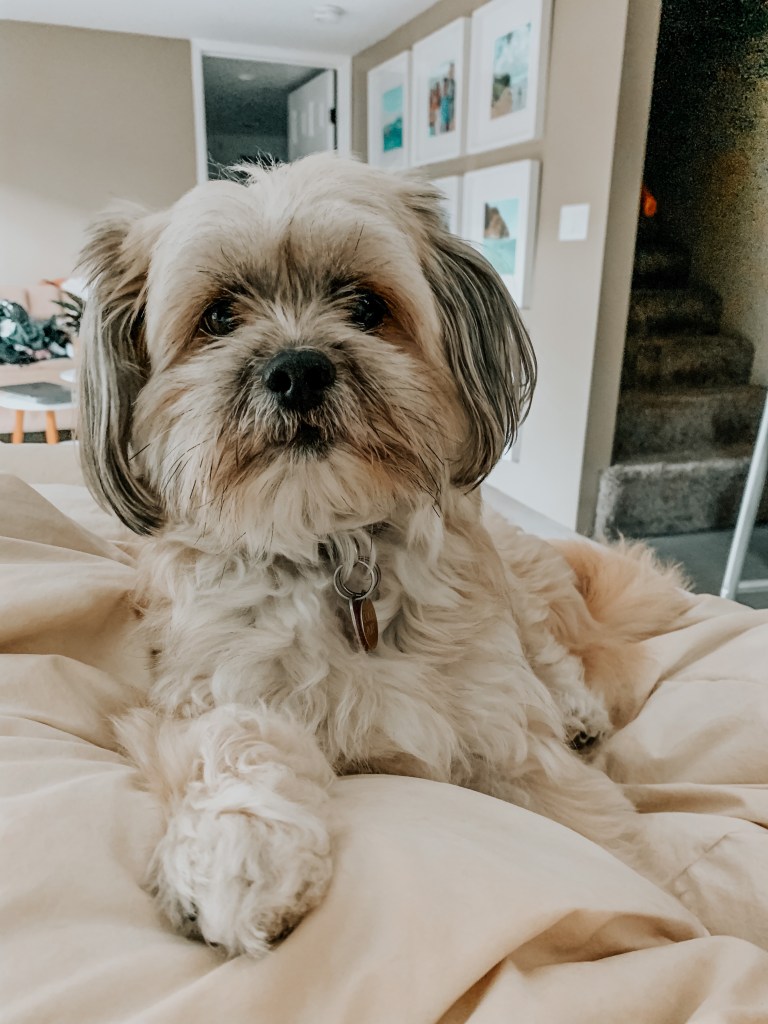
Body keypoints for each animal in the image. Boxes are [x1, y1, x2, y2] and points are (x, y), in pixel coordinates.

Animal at [77, 153, 688, 957]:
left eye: (366, 307)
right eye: (218, 317)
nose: (298, 370)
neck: (332, 547)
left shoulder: (507, 737)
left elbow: (596, 833)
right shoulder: (205, 689)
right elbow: (237, 739)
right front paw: (242, 855)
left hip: (519, 593)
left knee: (551, 648)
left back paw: (577, 708)